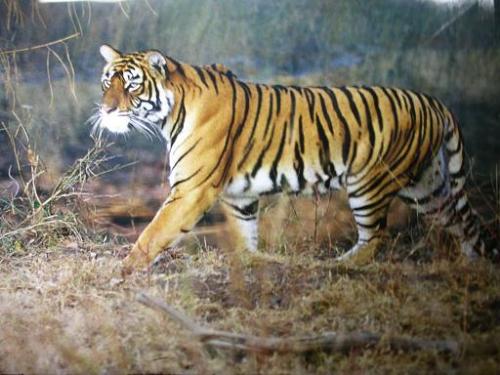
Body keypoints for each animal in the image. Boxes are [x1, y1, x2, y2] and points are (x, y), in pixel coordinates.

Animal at [93, 44, 496, 274]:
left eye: (132, 84)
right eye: (107, 81)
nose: (106, 109)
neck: (169, 114)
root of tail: (435, 102)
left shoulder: (191, 189)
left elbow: (154, 231)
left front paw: (125, 268)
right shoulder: (238, 195)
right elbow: (244, 234)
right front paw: (254, 262)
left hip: (370, 183)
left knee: (375, 239)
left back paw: (339, 266)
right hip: (426, 186)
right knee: (465, 220)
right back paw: (475, 266)